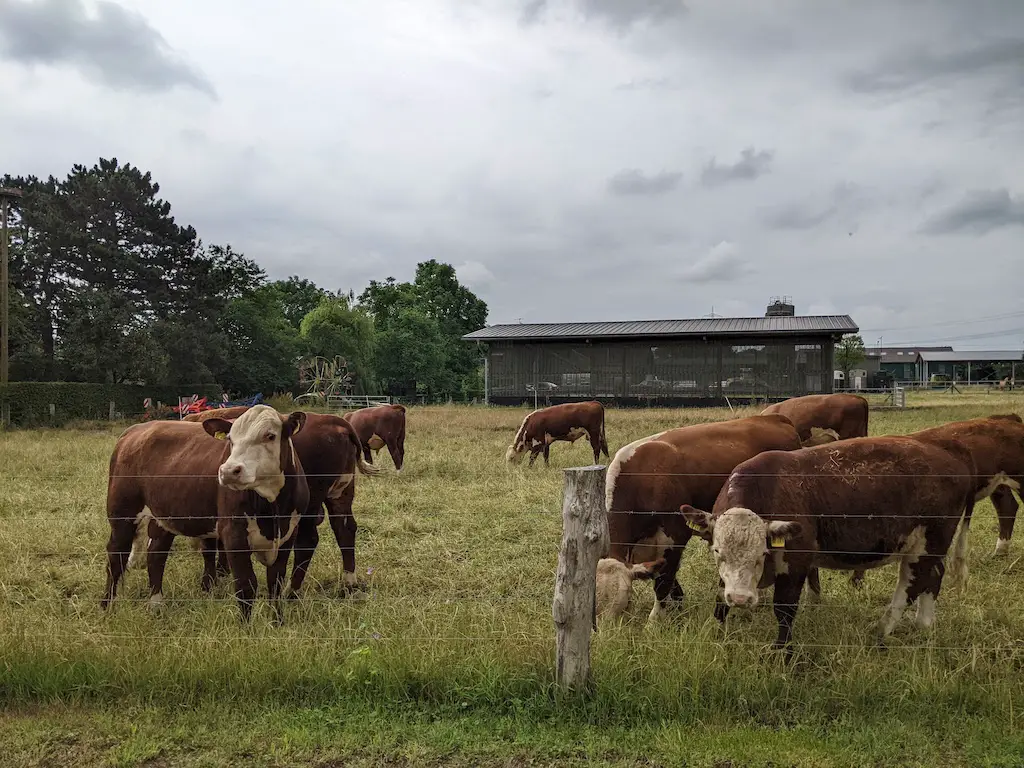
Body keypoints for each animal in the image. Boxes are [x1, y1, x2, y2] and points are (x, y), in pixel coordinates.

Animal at [104, 405, 313, 622]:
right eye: (230, 439)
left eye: (270, 436)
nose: (228, 471)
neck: (272, 507)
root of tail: (135, 430)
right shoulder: (233, 533)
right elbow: (246, 584)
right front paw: (246, 626)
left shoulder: (289, 533)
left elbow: (276, 582)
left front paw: (277, 621)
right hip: (122, 514)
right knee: (115, 556)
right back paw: (107, 607)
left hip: (163, 517)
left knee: (156, 555)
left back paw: (156, 605)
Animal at [165, 409, 382, 593]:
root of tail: (334, 420)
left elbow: (209, 548)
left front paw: (209, 583)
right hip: (341, 493)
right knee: (345, 529)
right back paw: (349, 581)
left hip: (310, 504)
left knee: (308, 541)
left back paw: (291, 591)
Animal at [598, 415, 835, 626]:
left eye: (625, 602)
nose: (607, 634)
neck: (643, 478)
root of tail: (776, 418)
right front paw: (678, 606)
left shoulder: (674, 538)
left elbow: (663, 582)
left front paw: (655, 621)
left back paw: (813, 601)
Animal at [679, 436, 974, 659]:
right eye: (717, 551)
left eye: (762, 553)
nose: (740, 599)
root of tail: (951, 459)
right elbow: (720, 600)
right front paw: (718, 634)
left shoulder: (797, 562)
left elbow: (784, 609)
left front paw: (782, 651)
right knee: (933, 578)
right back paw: (924, 624)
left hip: (928, 541)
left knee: (912, 584)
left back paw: (883, 630)